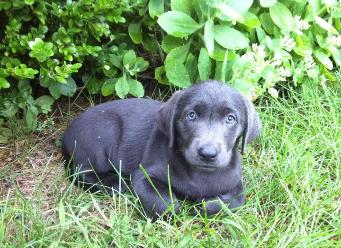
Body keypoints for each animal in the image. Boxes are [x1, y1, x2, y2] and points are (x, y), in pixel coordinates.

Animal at [62, 80, 260, 218]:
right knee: (80, 172)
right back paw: (115, 183)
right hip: (104, 131)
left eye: (230, 119)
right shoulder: (144, 175)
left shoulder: (234, 181)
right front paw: (176, 209)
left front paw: (204, 206)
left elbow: (237, 200)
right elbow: (165, 204)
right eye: (191, 115)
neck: (200, 173)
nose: (207, 154)